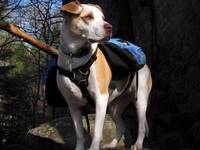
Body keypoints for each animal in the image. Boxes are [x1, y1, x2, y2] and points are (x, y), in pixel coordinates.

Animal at [56, 1, 152, 150]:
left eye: (102, 17)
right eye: (88, 17)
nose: (109, 26)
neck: (75, 57)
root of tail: (144, 64)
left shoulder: (100, 99)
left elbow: (96, 131)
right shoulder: (73, 105)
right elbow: (79, 133)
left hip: (140, 100)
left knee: (141, 126)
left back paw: (137, 144)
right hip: (114, 107)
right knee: (121, 125)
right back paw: (113, 144)